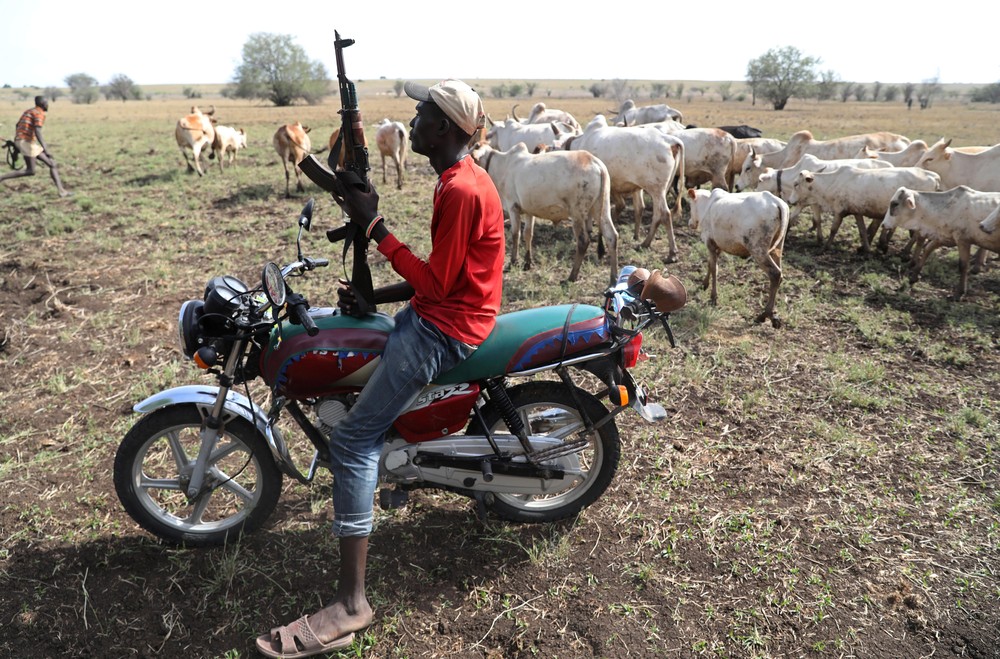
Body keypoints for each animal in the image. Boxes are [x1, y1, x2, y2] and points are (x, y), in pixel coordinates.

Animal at [468, 144, 616, 284]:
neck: (502, 165)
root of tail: (595, 162)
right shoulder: (528, 210)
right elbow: (528, 234)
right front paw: (527, 262)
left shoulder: (513, 207)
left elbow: (515, 234)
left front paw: (513, 262)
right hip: (601, 208)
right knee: (611, 236)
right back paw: (613, 280)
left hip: (577, 213)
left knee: (583, 240)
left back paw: (571, 277)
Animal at [556, 116, 688, 260]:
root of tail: (670, 140)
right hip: (659, 190)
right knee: (656, 214)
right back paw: (645, 243)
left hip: (656, 189)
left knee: (665, 214)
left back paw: (672, 253)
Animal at [688, 188, 788, 328]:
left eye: (690, 205)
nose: (690, 223)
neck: (707, 204)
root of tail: (777, 202)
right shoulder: (718, 245)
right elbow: (710, 264)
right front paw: (704, 285)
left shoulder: (709, 242)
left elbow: (714, 268)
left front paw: (713, 298)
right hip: (778, 246)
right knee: (780, 275)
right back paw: (772, 314)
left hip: (758, 249)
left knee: (775, 274)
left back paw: (764, 315)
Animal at [784, 166, 940, 254]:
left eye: (796, 184)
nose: (790, 201)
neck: (832, 183)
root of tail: (934, 176)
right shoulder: (857, 212)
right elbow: (863, 230)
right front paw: (866, 249)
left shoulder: (839, 211)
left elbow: (834, 229)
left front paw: (825, 248)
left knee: (917, 234)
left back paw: (904, 252)